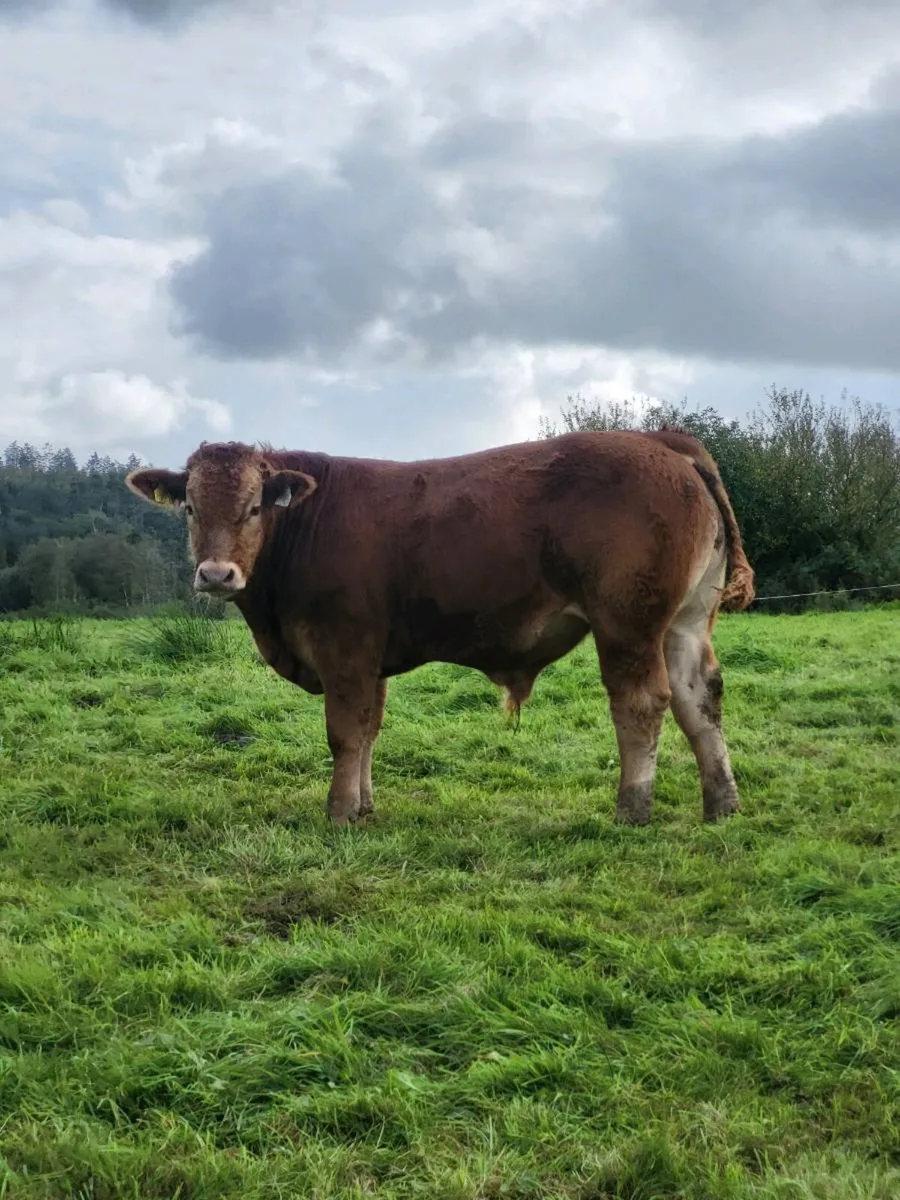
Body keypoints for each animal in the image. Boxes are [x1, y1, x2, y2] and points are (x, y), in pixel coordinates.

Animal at [126, 428, 755, 826]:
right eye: (189, 508)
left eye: (255, 507)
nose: (216, 573)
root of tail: (659, 439)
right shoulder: (371, 658)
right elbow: (369, 730)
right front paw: (364, 805)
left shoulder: (344, 646)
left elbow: (344, 733)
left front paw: (338, 812)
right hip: (685, 624)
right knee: (700, 700)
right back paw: (721, 804)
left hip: (627, 623)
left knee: (642, 703)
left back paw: (632, 808)